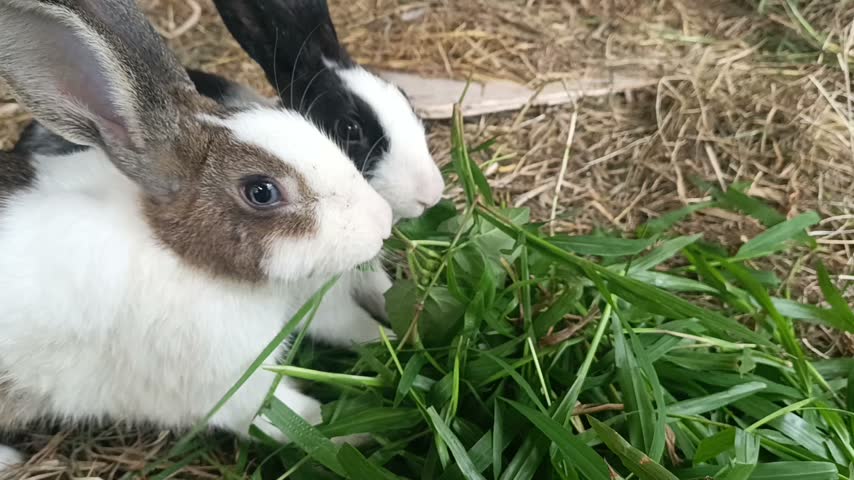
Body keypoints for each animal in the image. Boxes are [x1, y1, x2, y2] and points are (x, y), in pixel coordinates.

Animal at [0, 0, 392, 471]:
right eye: (261, 191)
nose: (383, 222)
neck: (179, 253)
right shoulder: (228, 384)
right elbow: (292, 418)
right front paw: (358, 437)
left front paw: (392, 337)